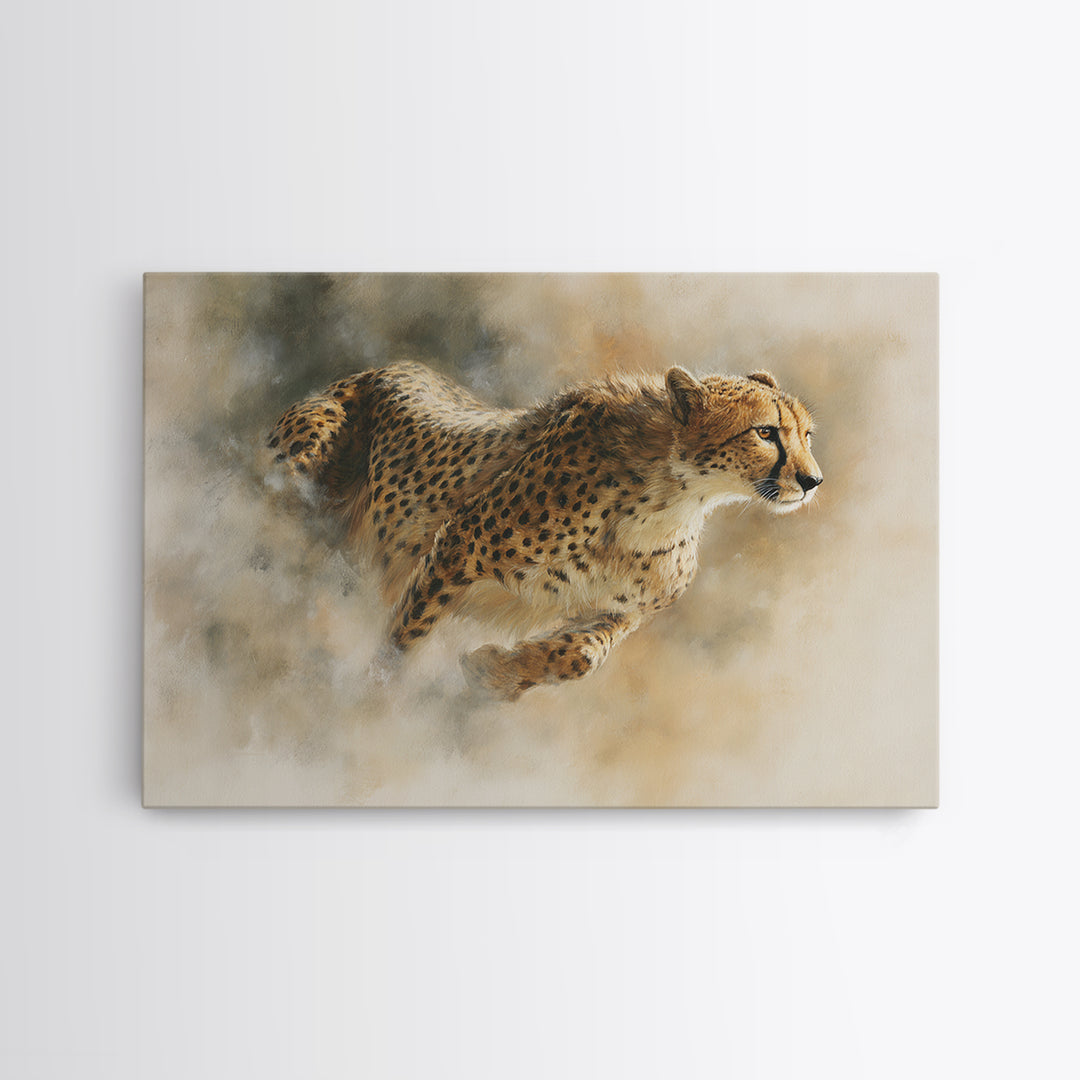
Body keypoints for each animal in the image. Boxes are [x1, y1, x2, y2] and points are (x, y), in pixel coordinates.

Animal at [267, 361, 822, 701]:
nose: (813, 480)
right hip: (299, 482)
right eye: (765, 432)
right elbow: (405, 637)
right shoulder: (456, 546)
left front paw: (494, 670)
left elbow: (582, 655)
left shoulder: (619, 611)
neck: (669, 493)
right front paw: (374, 702)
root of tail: (393, 366)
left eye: (806, 434)